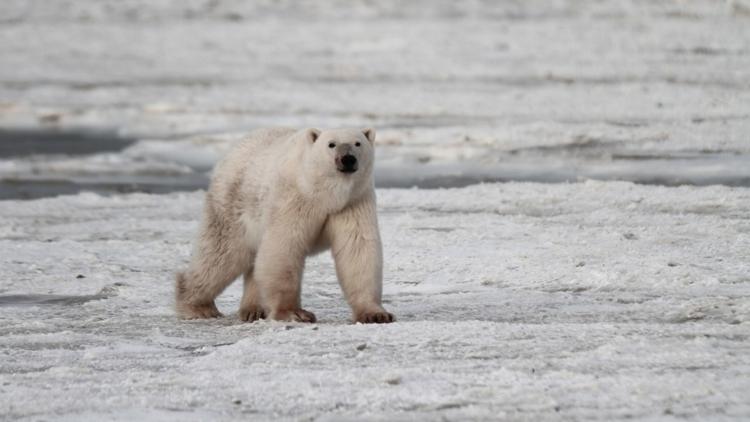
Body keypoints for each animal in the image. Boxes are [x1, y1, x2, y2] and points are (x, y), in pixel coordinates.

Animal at [174, 127, 396, 324]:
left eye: (358, 143)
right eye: (331, 144)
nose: (348, 159)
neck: (324, 194)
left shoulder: (354, 202)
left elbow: (357, 250)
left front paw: (376, 314)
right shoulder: (295, 198)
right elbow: (284, 247)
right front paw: (295, 313)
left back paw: (253, 309)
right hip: (232, 204)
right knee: (221, 255)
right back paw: (198, 306)